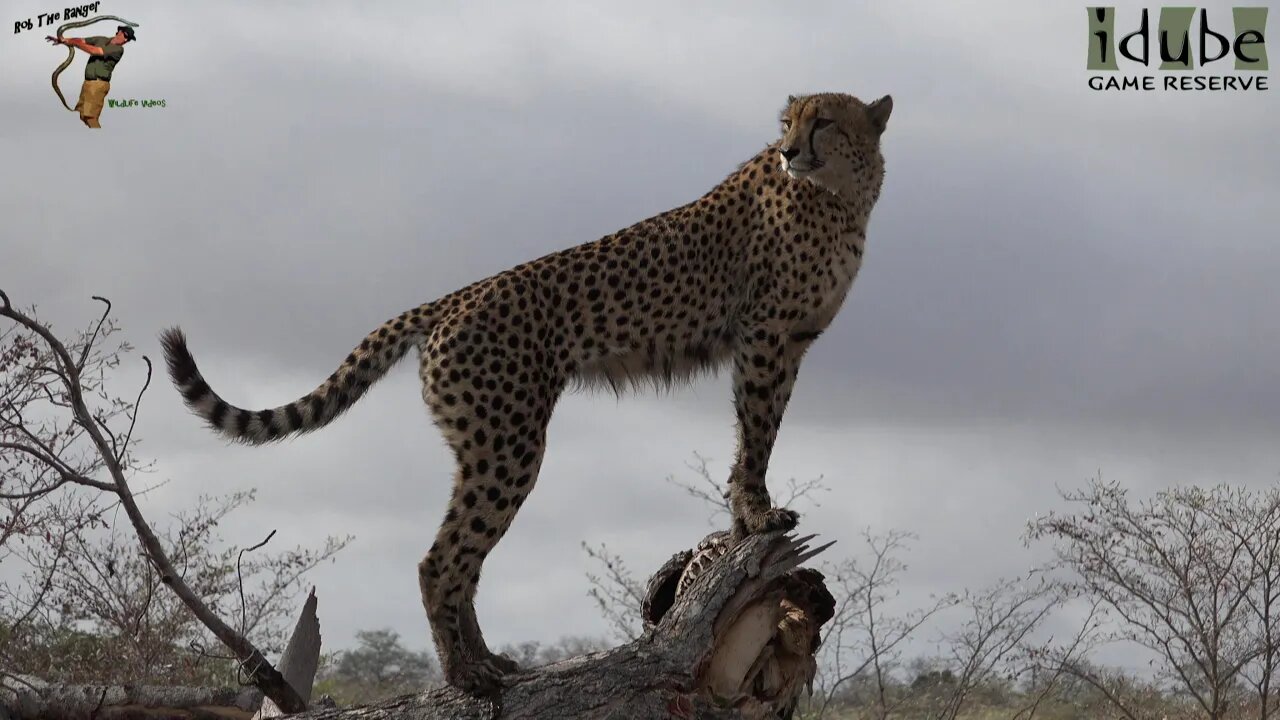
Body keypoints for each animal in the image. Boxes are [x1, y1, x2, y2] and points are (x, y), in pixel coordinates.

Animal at [159, 90, 893, 694]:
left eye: (823, 121)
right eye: (788, 122)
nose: (789, 151)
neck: (840, 193)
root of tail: (451, 299)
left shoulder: (786, 344)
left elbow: (753, 434)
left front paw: (743, 520)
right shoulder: (764, 337)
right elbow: (758, 431)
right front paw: (759, 516)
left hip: (486, 446)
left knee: (464, 562)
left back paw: (488, 662)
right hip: (510, 444)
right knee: (442, 561)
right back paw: (465, 676)